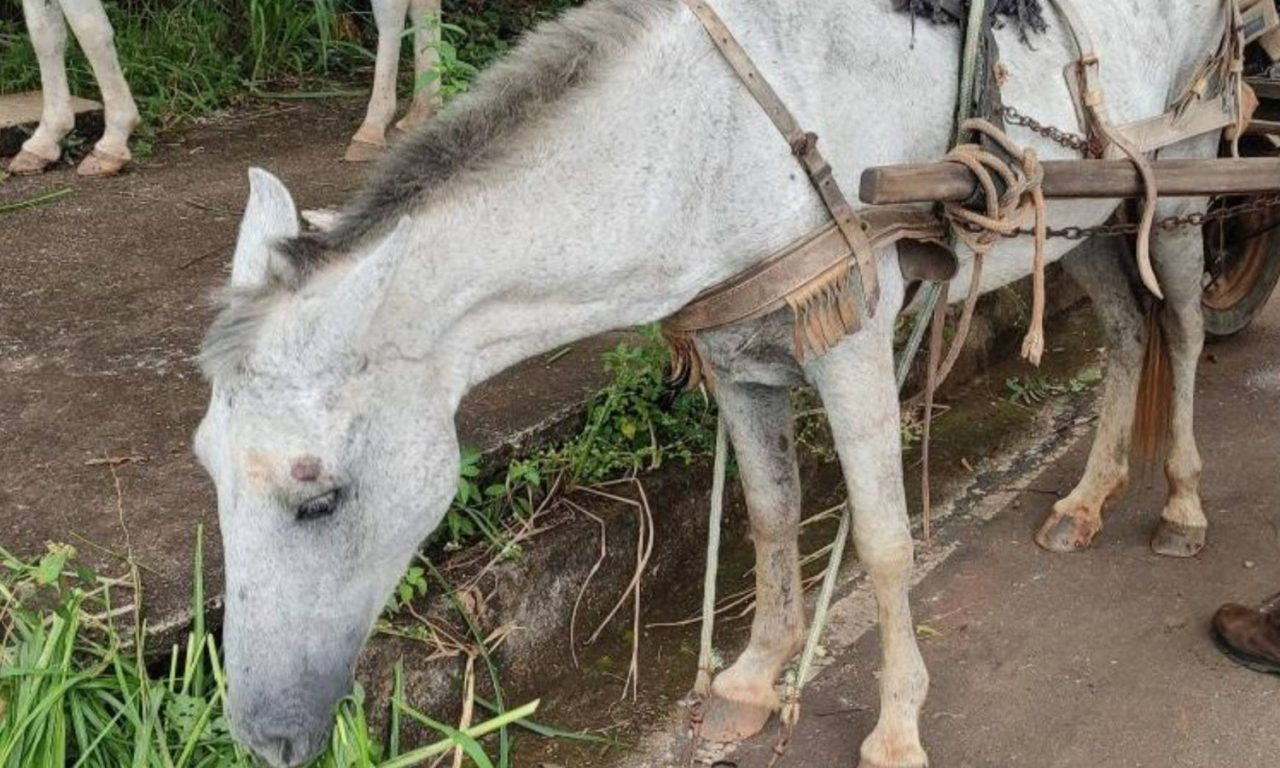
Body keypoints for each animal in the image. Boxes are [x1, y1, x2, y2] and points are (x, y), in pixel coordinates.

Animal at [194, 3, 1223, 762]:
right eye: (208, 468)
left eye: (319, 499)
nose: (264, 741)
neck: (708, 147)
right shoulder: (739, 359)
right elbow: (769, 516)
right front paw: (754, 679)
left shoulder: (848, 340)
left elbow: (885, 541)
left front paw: (896, 728)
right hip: (1082, 219)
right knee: (1126, 337)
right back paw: (1085, 501)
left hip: (1177, 185)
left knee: (1182, 331)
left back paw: (1180, 507)